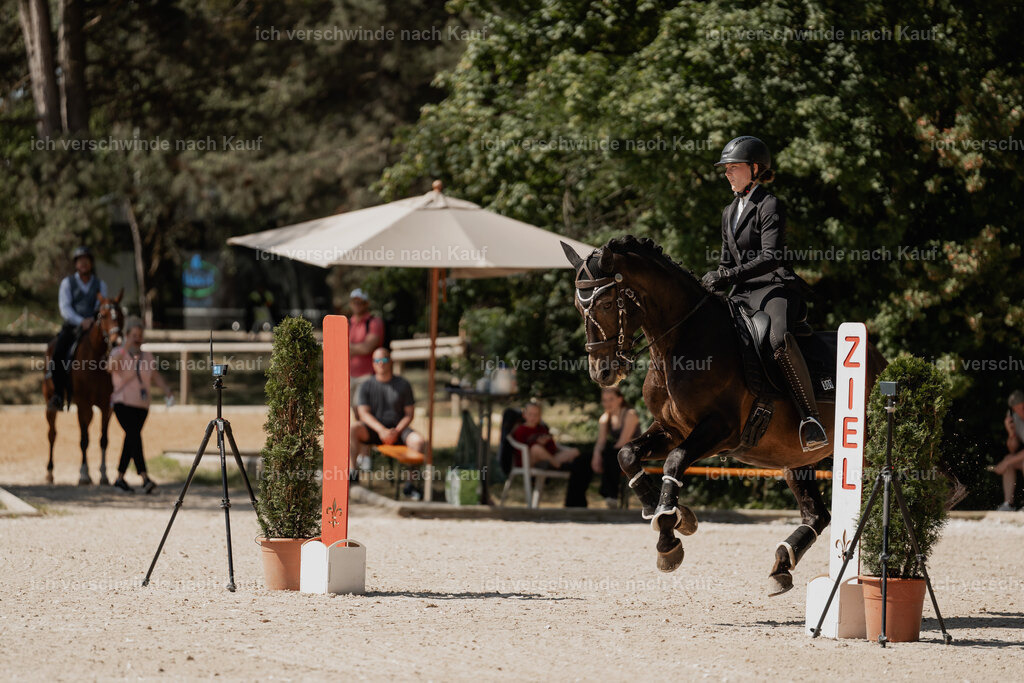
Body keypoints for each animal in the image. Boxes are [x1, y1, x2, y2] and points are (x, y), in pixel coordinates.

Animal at [43, 291, 125, 485]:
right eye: (103, 315)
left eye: (121, 316)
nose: (116, 341)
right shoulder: (83, 404)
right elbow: (84, 439)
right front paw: (84, 475)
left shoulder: (106, 406)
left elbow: (103, 439)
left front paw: (103, 474)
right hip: (50, 402)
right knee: (52, 434)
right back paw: (49, 472)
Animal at [561, 236, 887, 596]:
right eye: (578, 307)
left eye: (606, 304)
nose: (602, 373)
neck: (680, 344)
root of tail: (882, 361)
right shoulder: (671, 429)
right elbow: (627, 455)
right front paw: (664, 510)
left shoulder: (720, 430)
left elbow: (674, 462)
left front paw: (669, 535)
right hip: (795, 458)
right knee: (817, 515)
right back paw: (781, 567)